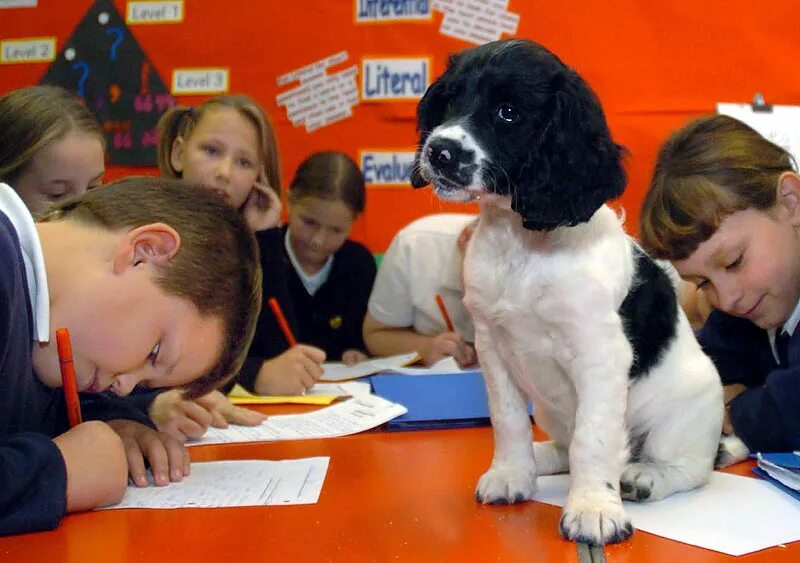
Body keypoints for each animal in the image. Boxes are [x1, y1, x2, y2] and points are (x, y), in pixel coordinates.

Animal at [412, 39, 752, 548]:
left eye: (508, 112)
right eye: (450, 100)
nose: (440, 151)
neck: (524, 243)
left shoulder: (599, 352)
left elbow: (593, 439)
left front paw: (593, 509)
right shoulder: (493, 348)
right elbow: (507, 419)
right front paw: (511, 474)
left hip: (687, 411)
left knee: (691, 468)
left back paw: (643, 476)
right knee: (564, 444)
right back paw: (544, 459)